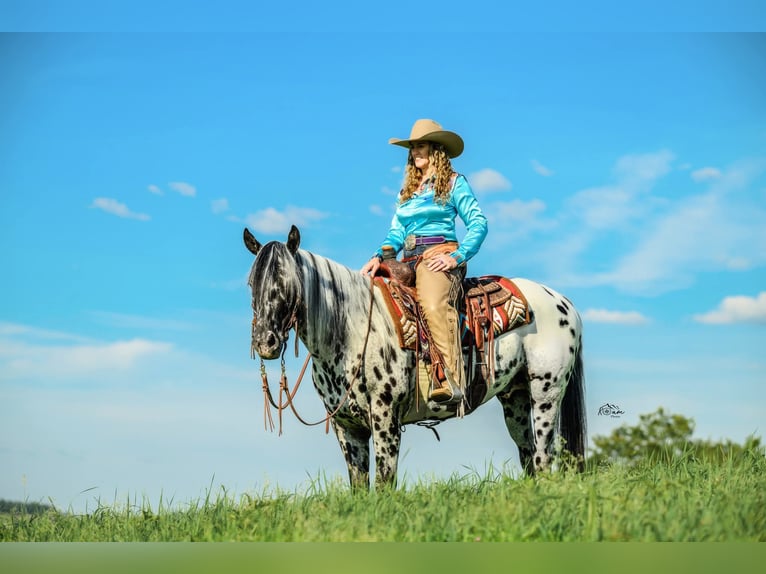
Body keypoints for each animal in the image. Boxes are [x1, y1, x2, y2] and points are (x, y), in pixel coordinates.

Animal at [244, 225, 586, 489]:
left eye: (286, 282)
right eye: (251, 283)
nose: (265, 342)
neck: (351, 329)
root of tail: (563, 302)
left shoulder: (384, 418)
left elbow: (384, 483)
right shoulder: (346, 426)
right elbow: (359, 486)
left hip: (546, 394)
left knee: (543, 456)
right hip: (515, 398)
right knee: (528, 454)